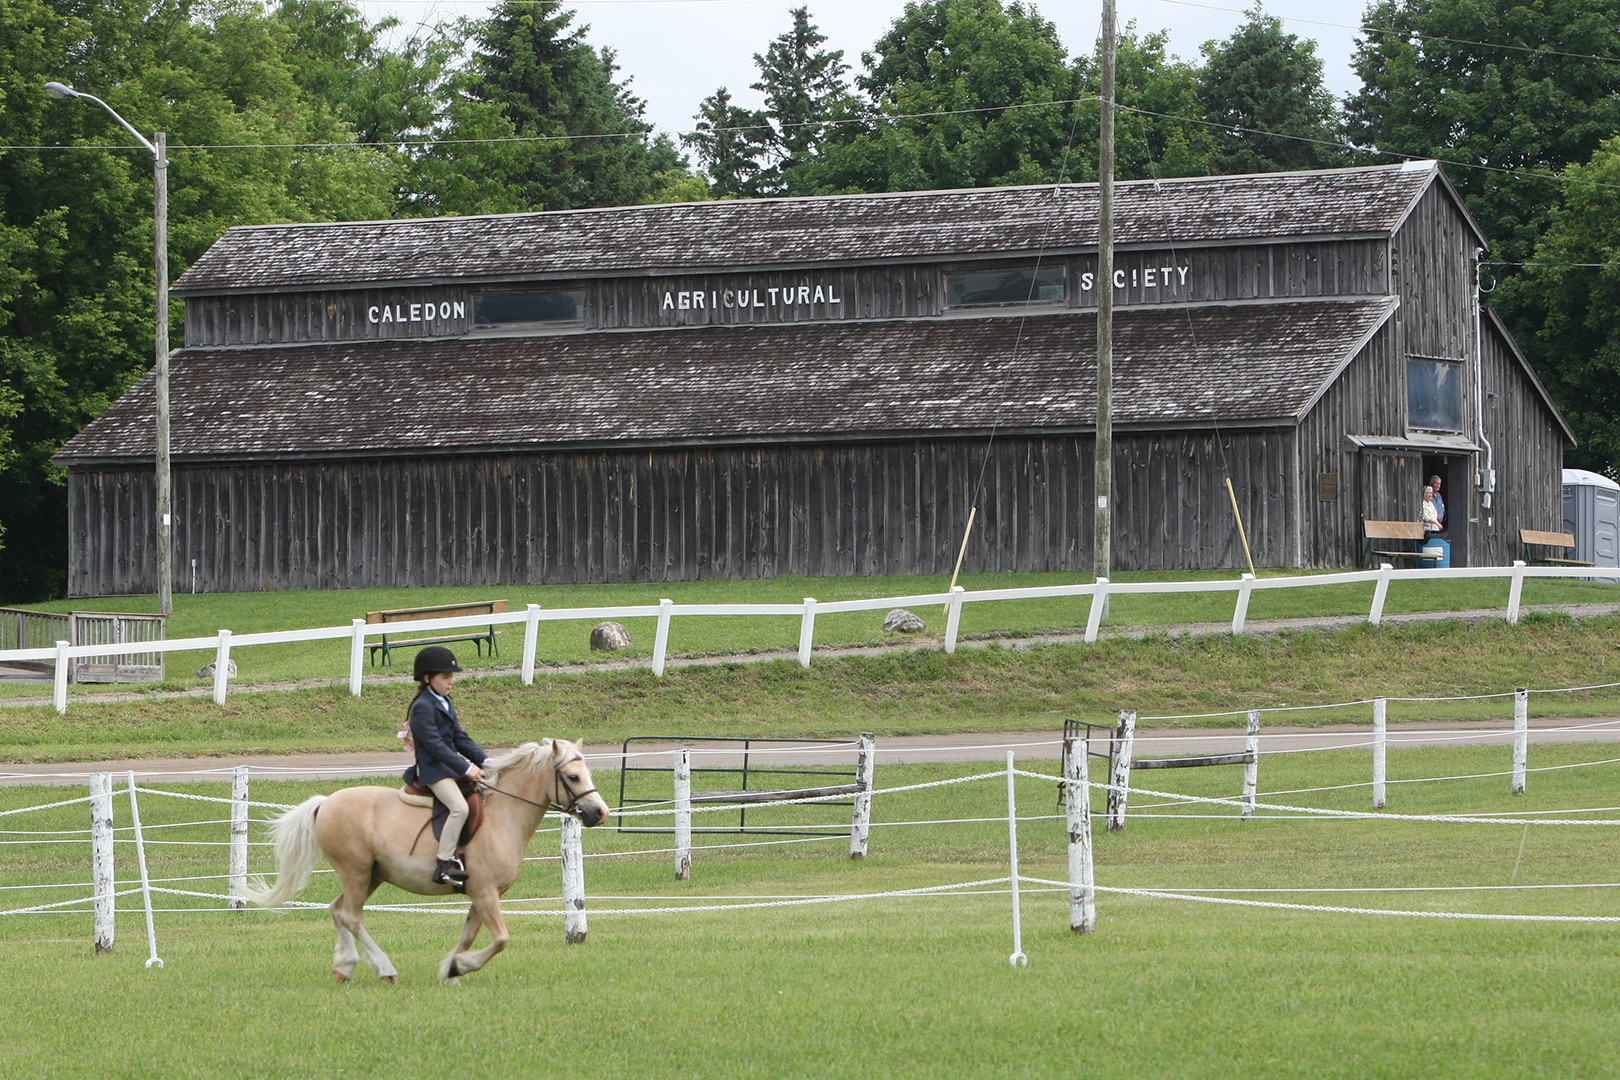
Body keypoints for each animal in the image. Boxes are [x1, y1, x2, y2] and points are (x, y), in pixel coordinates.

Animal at [243, 744, 609, 977]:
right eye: (573, 777)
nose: (600, 813)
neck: (503, 815)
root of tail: (326, 802)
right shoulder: (485, 892)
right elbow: (500, 939)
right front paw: (460, 967)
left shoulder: (482, 895)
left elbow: (469, 936)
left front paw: (451, 968)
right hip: (356, 872)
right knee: (350, 916)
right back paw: (384, 969)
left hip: (371, 875)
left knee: (337, 910)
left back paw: (344, 967)